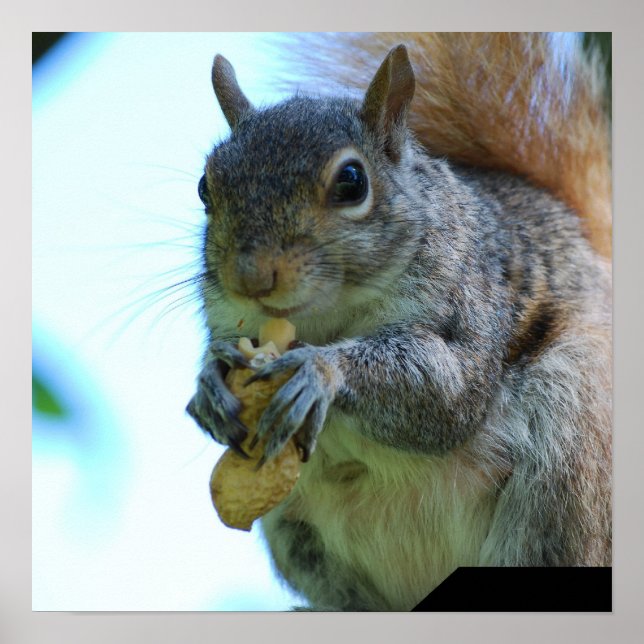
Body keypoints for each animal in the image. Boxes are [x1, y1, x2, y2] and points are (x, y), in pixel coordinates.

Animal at [186, 32, 612, 611]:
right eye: (205, 187)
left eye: (352, 181)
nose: (250, 278)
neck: (328, 317)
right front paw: (209, 381)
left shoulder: (473, 309)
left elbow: (446, 391)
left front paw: (320, 371)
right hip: (299, 535)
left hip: (571, 457)